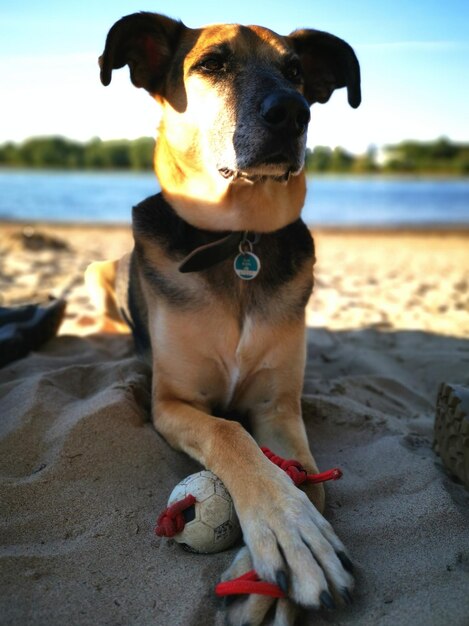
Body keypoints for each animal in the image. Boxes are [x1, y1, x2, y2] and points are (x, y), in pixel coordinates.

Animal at [88, 11, 360, 624]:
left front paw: (268, 569)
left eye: (296, 71)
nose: (294, 112)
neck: (238, 240)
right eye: (212, 64)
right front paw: (286, 529)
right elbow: (229, 432)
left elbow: (308, 477)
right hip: (98, 274)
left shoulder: (280, 408)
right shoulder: (173, 402)